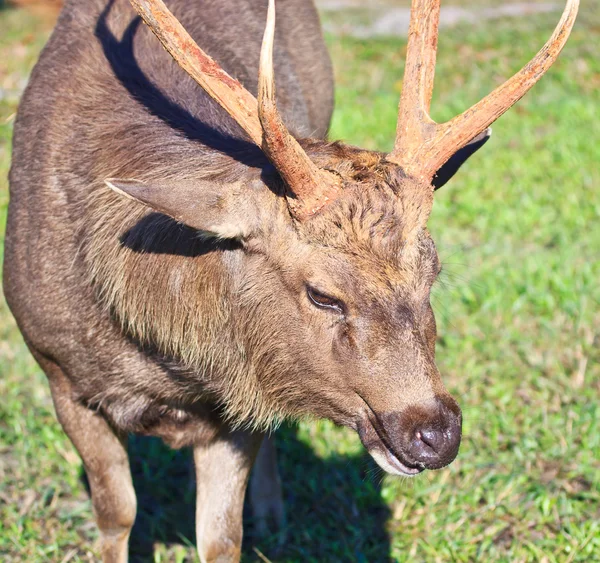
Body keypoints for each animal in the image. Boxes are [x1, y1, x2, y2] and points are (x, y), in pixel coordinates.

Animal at [2, 0, 580, 560]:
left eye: (432, 272)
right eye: (322, 294)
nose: (436, 433)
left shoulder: (233, 406)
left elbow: (221, 538)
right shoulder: (58, 370)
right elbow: (116, 515)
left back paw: (273, 514)